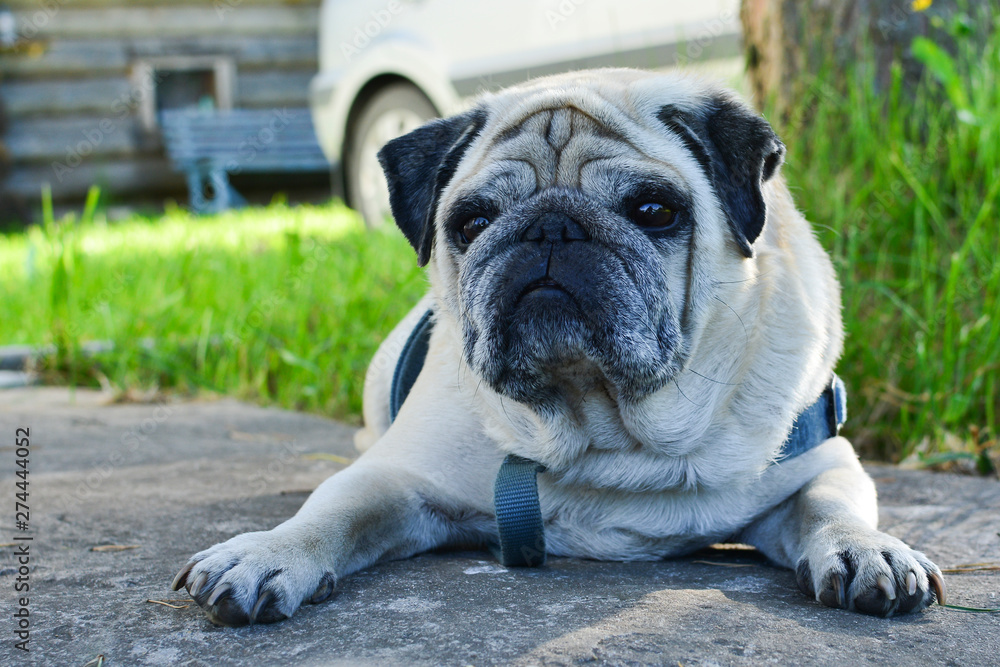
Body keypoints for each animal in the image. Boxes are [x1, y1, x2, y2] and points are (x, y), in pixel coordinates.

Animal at [172, 69, 944, 628]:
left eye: (655, 211)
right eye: (471, 222)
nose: (550, 227)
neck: (608, 436)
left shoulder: (821, 461)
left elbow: (831, 506)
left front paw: (869, 549)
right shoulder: (397, 479)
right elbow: (330, 511)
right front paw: (265, 553)